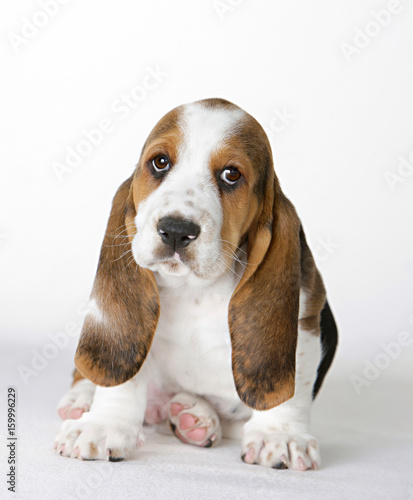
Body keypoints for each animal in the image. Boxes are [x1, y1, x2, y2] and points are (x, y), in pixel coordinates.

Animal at [54, 96, 338, 468]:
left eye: (231, 174)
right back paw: (84, 401)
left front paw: (281, 435)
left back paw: (195, 417)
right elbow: (124, 375)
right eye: (160, 162)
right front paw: (103, 426)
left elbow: (291, 386)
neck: (195, 289)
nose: (176, 230)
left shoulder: (305, 314)